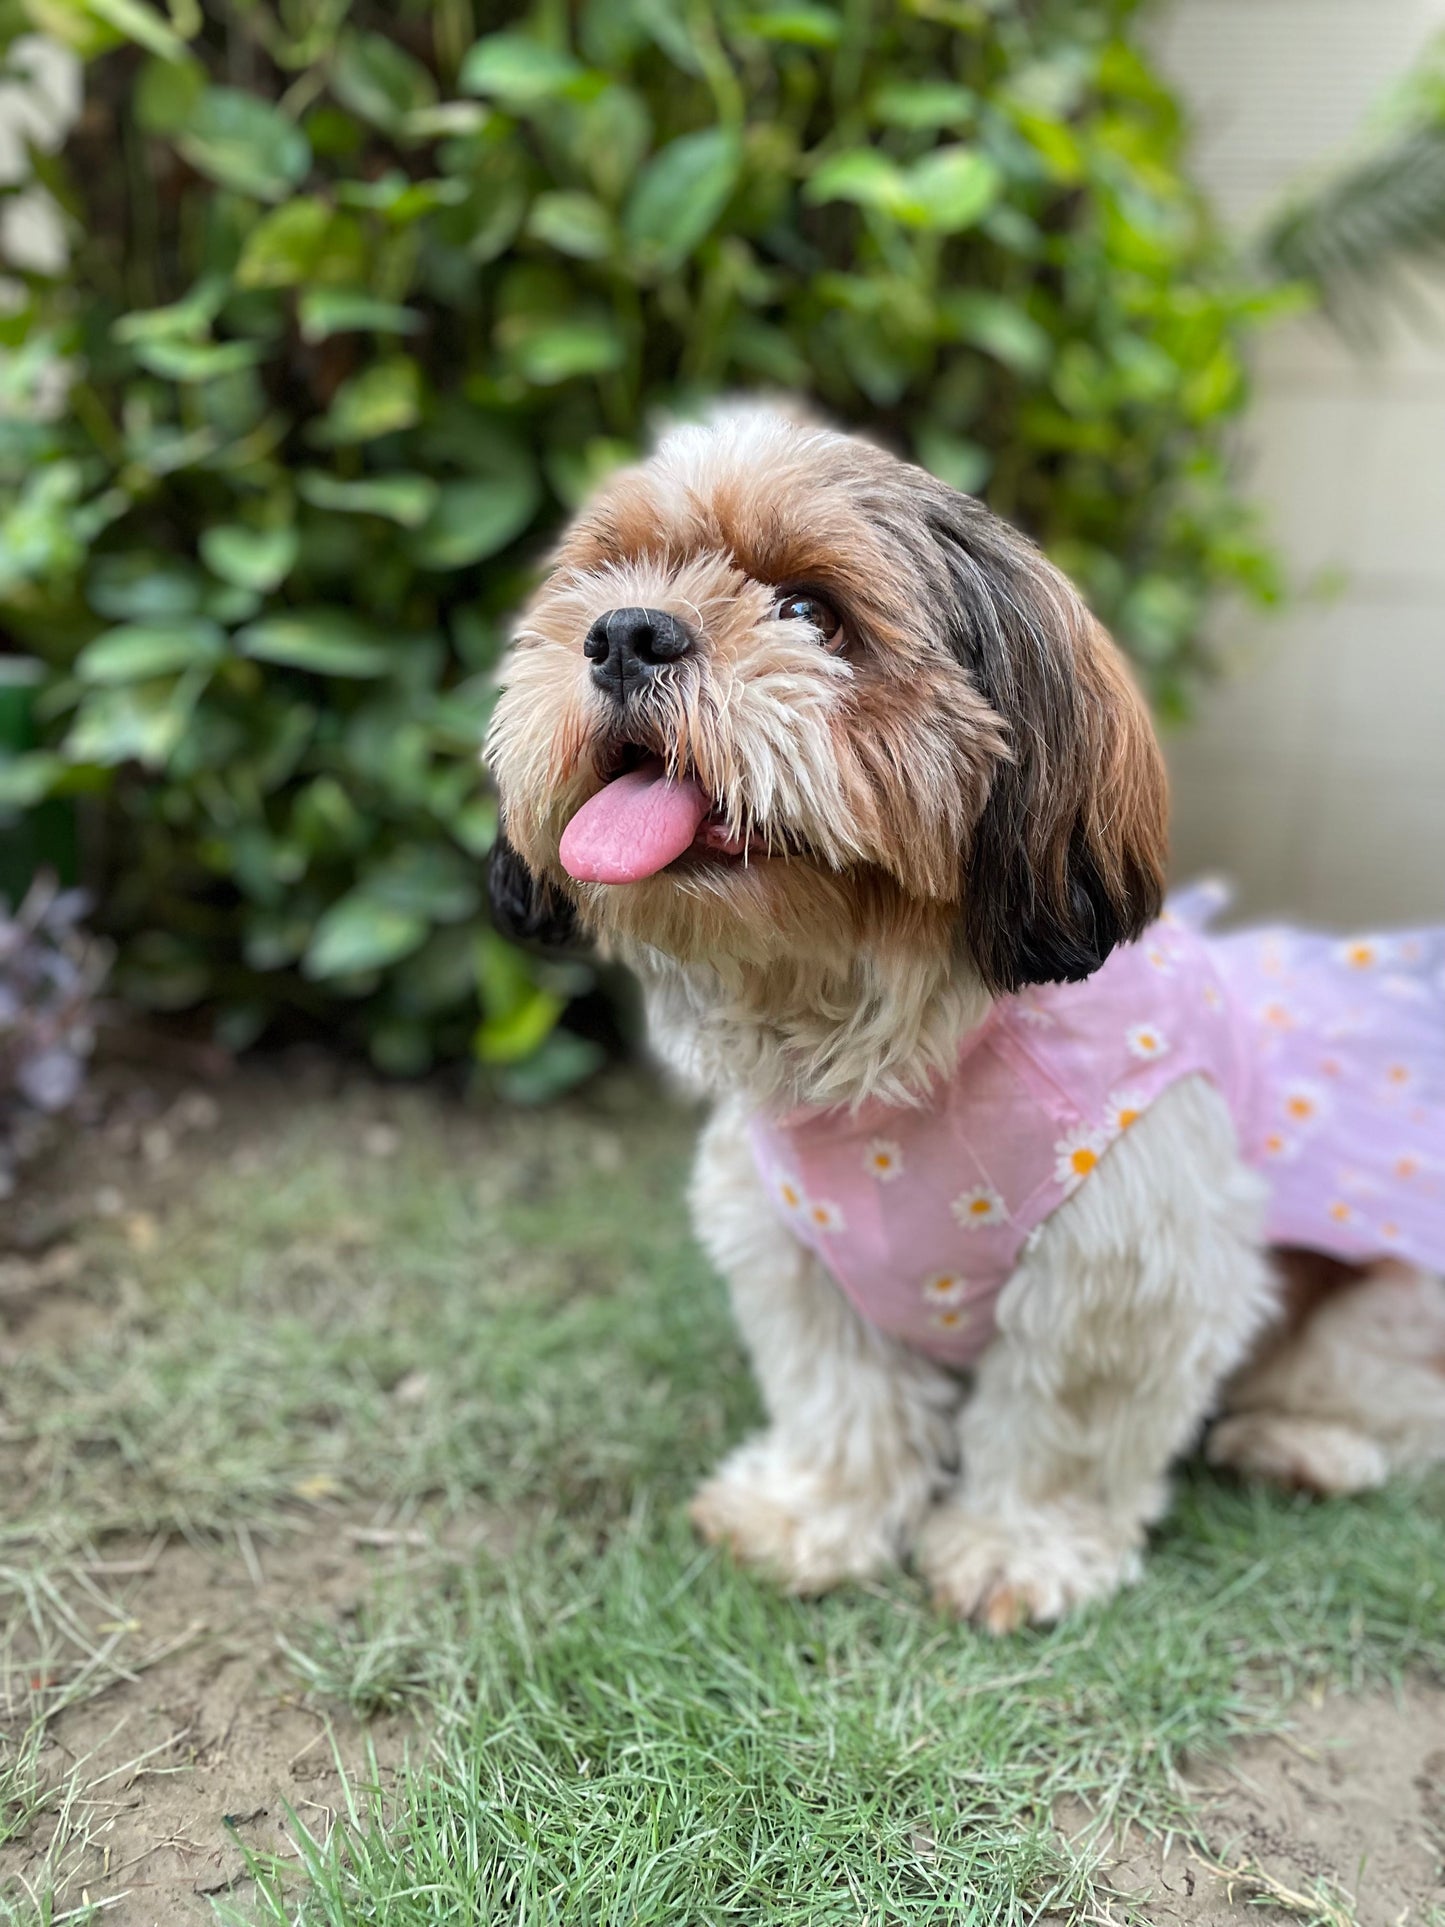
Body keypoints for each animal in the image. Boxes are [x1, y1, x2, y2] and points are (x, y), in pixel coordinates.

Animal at [487, 406, 1445, 1626]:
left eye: (809, 611)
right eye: (607, 576)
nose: (623, 632)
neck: (879, 1032)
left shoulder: (1126, 1264)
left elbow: (1062, 1425)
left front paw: (1014, 1548)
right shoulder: (796, 1250)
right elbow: (839, 1396)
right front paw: (811, 1513)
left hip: (1386, 1305)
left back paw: (1300, 1440)